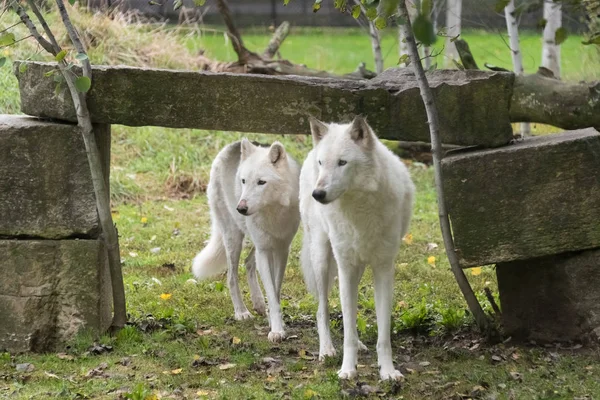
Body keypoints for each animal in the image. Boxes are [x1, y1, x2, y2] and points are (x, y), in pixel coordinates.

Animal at [192, 139, 300, 342]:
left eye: (261, 182)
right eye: (243, 181)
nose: (240, 208)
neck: (272, 211)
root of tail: (230, 146)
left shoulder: (282, 250)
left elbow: (275, 290)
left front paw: (274, 322)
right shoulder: (265, 250)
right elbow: (271, 292)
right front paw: (276, 330)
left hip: (255, 245)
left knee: (248, 262)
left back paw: (258, 304)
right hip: (234, 238)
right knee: (231, 276)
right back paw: (241, 312)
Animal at [298, 116, 412, 382]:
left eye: (342, 162)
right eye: (322, 163)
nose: (318, 194)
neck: (359, 209)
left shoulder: (383, 269)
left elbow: (383, 334)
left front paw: (388, 371)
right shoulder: (345, 267)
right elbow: (347, 329)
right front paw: (347, 370)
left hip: (356, 268)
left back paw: (360, 345)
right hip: (322, 259)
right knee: (322, 310)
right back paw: (327, 350)